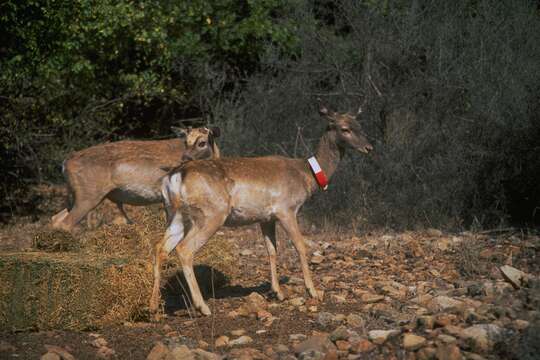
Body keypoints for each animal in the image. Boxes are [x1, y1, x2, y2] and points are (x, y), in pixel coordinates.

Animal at [50, 125, 219, 232]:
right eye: (185, 142)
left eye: (202, 143)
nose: (184, 159)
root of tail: (65, 163)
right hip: (88, 194)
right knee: (66, 223)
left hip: (76, 195)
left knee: (55, 218)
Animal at [150, 103, 374, 316]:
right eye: (345, 129)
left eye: (360, 126)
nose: (369, 147)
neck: (306, 175)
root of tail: (175, 176)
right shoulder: (286, 209)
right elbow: (300, 246)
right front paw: (313, 291)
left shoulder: (266, 218)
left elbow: (272, 250)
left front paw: (278, 292)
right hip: (211, 213)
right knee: (184, 249)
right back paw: (202, 307)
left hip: (175, 214)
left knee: (160, 248)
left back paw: (153, 307)